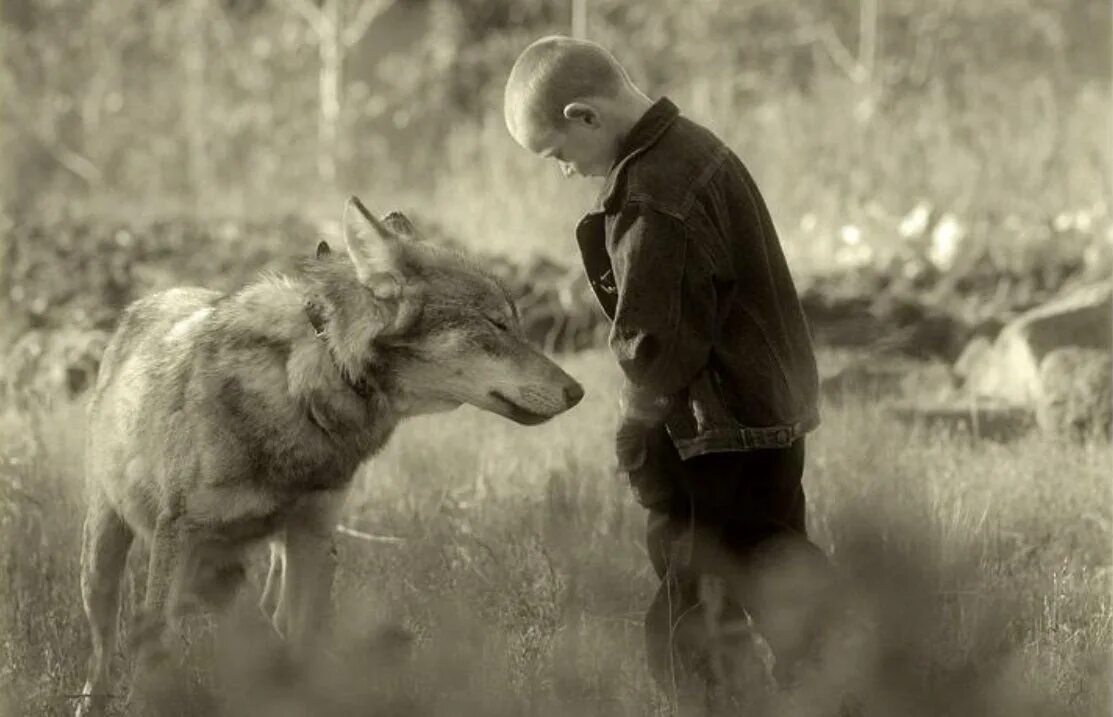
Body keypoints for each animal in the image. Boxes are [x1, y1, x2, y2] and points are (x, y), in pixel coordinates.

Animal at [74, 195, 587, 717]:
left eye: (517, 323)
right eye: (497, 325)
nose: (577, 392)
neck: (308, 386)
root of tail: (145, 300)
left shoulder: (314, 535)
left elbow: (303, 646)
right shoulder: (177, 536)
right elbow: (153, 655)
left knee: (268, 618)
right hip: (104, 558)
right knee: (102, 651)